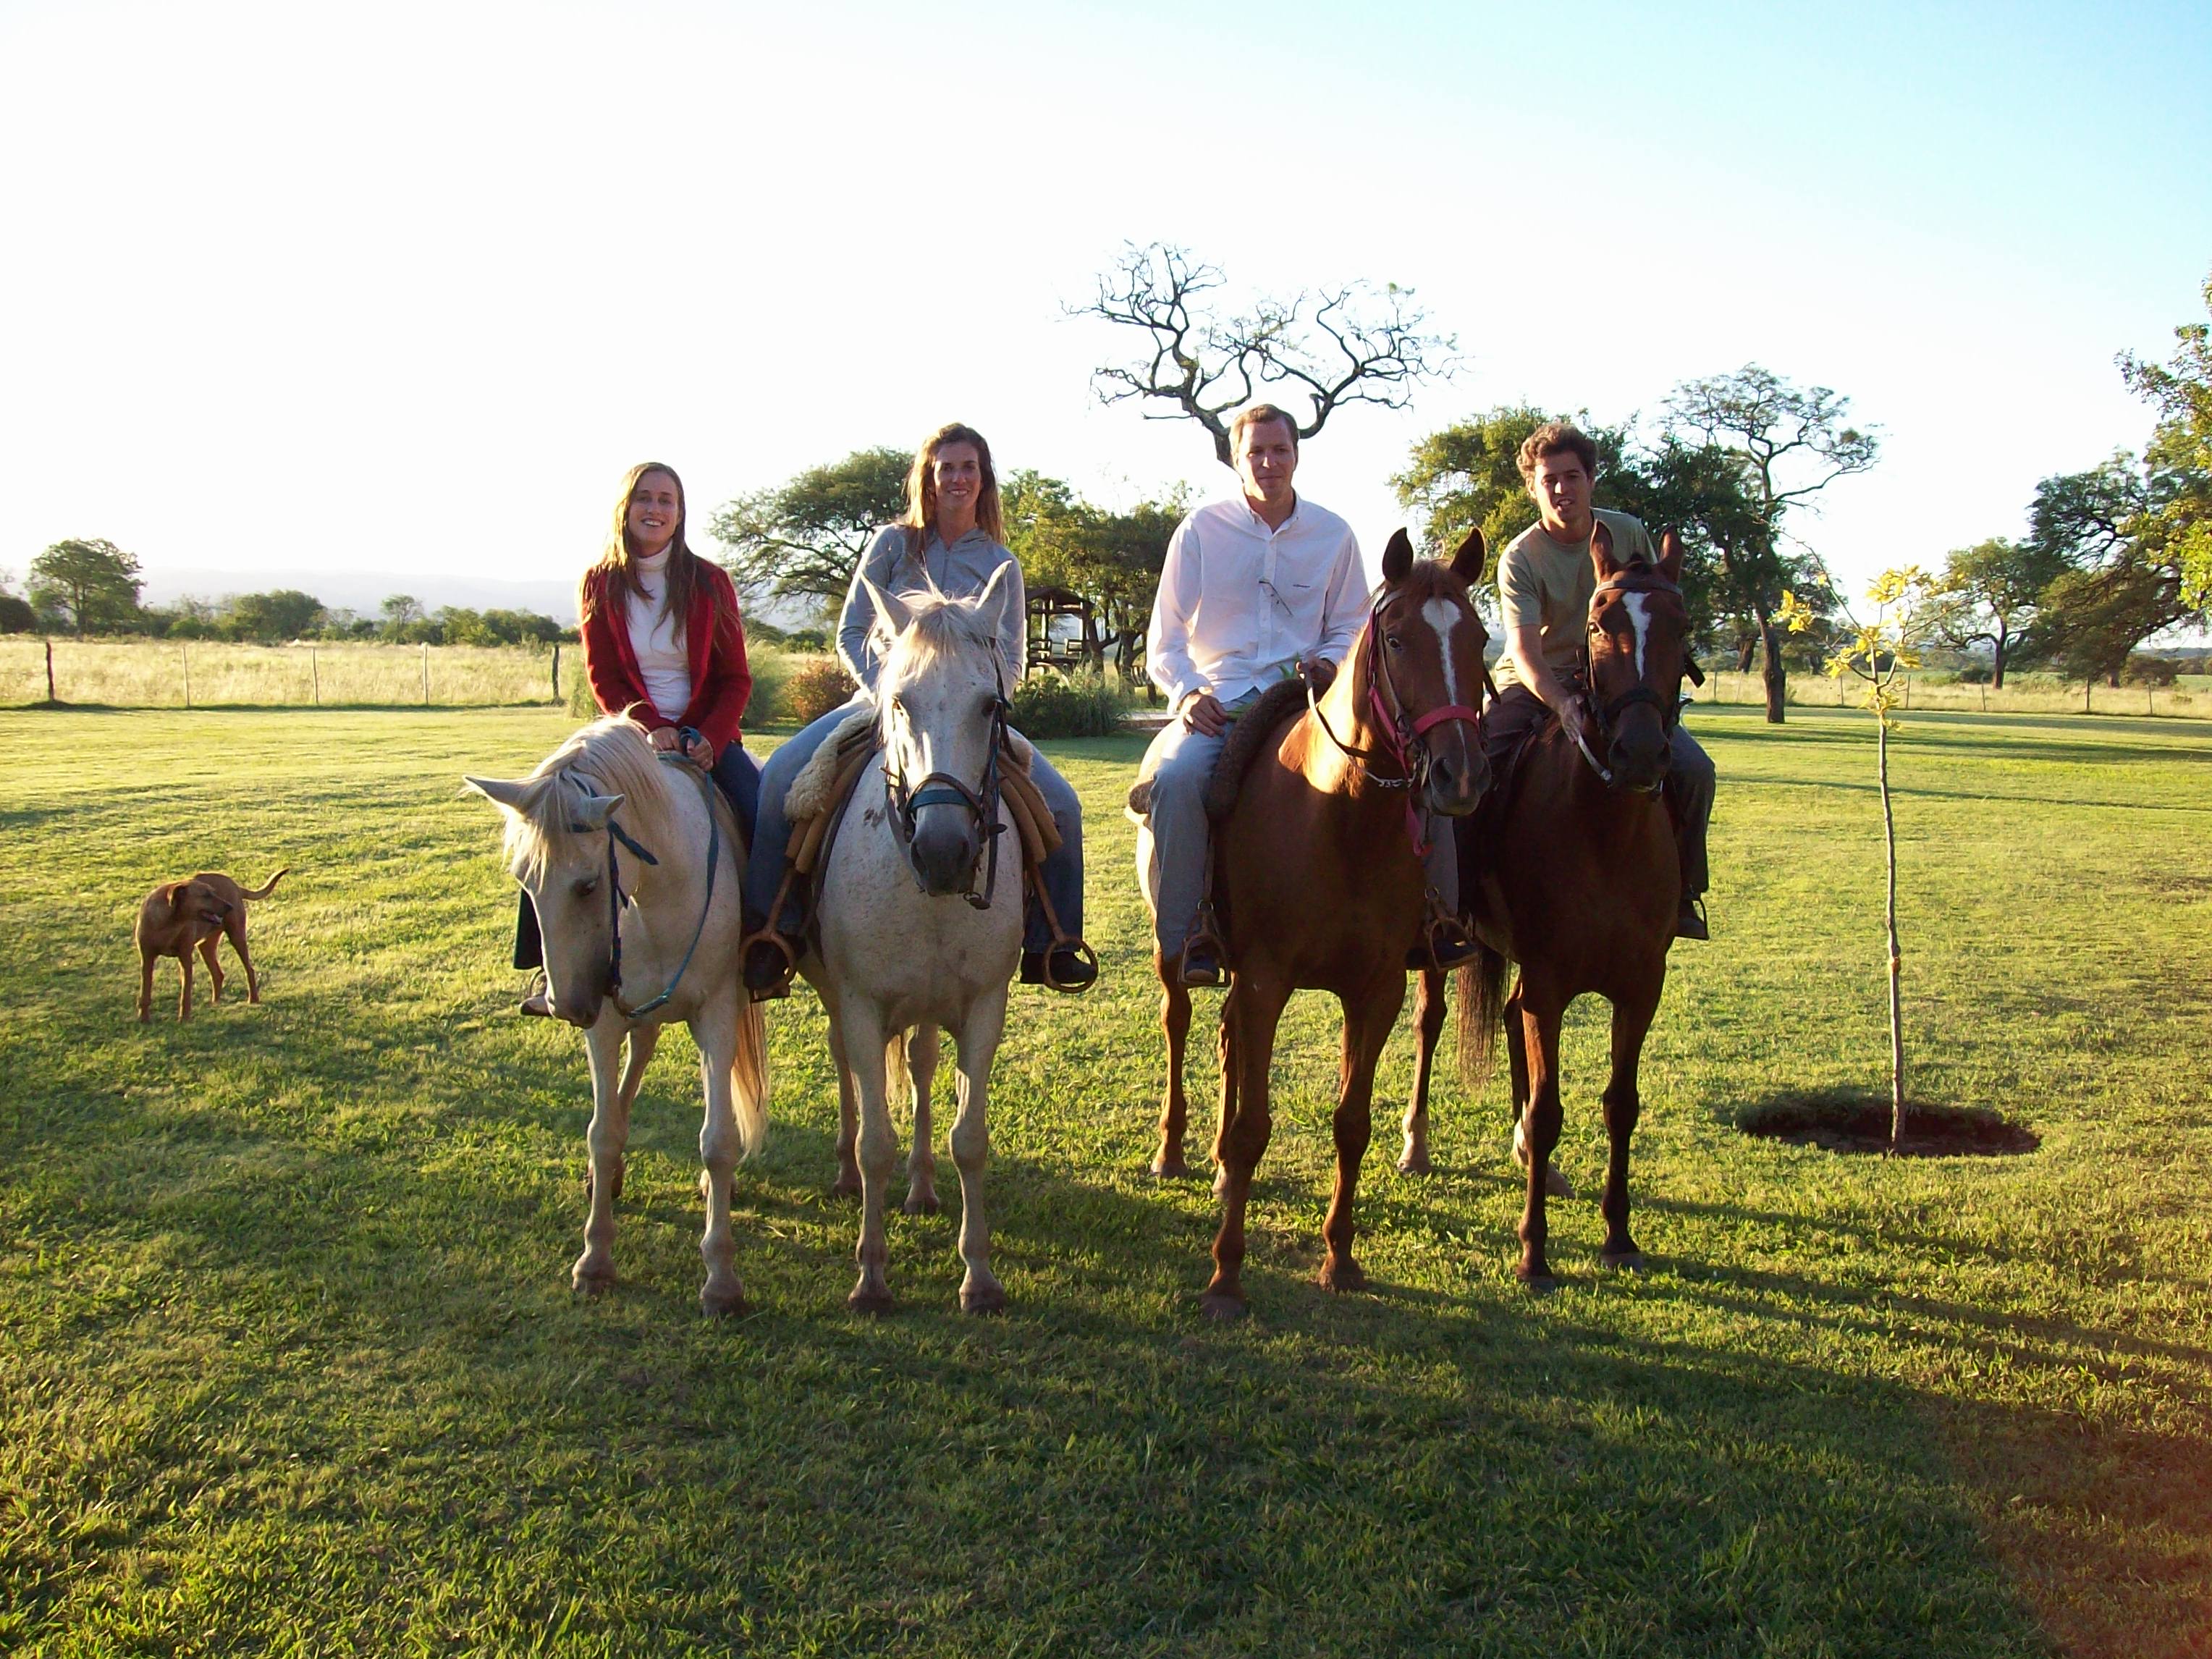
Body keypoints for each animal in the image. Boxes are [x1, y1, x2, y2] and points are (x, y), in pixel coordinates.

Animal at [133, 876, 287, 1021]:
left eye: (213, 892)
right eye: (206, 895)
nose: (229, 906)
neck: (169, 923)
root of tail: (235, 885)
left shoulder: (185, 958)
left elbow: (185, 995)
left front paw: (184, 1019)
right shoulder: (147, 959)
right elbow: (145, 993)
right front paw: (144, 1019)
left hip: (237, 937)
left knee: (249, 970)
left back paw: (253, 999)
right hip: (205, 947)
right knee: (218, 974)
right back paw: (215, 1003)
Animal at [462, 721, 765, 1318]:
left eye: (586, 884)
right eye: (524, 882)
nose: (566, 1006)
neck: (658, 894)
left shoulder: (717, 1014)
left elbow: (717, 1140)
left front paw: (721, 1278)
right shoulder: (605, 1023)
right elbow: (602, 1133)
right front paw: (595, 1259)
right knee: (639, 1057)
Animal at [805, 575, 1026, 1327]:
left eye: (990, 706)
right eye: (899, 700)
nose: (944, 851)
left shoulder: (985, 1007)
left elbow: (971, 1139)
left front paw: (979, 1275)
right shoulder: (861, 1005)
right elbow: (875, 1141)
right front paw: (871, 1276)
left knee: (924, 1068)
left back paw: (924, 1190)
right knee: (846, 1070)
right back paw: (844, 1175)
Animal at [1141, 533, 1486, 1327]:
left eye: (1481, 640)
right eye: (1397, 639)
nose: (1458, 776)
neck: (1339, 817)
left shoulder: (1375, 991)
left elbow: (1351, 1123)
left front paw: (1341, 1258)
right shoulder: (1268, 982)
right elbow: (1252, 1130)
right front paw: (1225, 1277)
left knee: (1226, 1041)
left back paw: (1211, 1168)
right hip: (1177, 954)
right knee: (1179, 1026)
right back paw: (1175, 1152)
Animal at [1398, 526, 1689, 1291]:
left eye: (1681, 625)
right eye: (1599, 624)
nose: (1640, 751)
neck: (1606, 834)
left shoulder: (1640, 988)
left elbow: (1620, 1105)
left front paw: (1618, 1234)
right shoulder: (1553, 986)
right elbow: (1552, 1106)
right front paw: (1534, 1251)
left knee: (1506, 1018)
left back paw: (1533, 1157)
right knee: (1430, 1023)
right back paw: (1416, 1145)